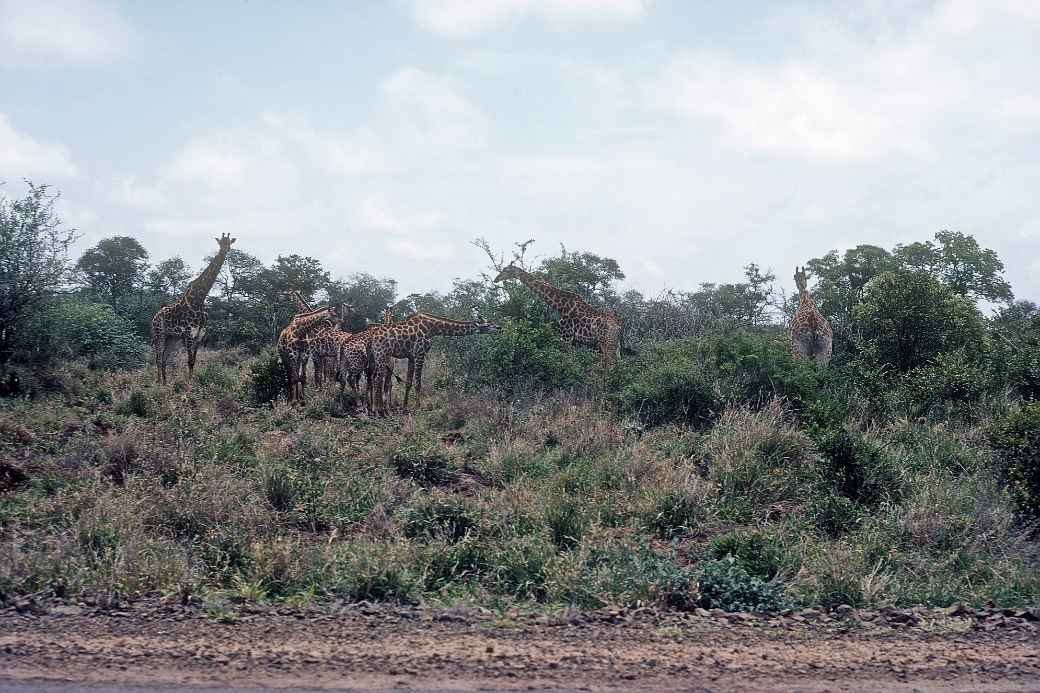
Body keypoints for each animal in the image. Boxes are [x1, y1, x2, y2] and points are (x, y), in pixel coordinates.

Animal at [150, 233, 236, 382]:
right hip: (159, 333)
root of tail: (155, 316)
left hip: (172, 337)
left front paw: (193, 382)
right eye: (220, 243)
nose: (225, 251)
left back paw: (166, 383)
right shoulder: (189, 334)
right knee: (158, 357)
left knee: (165, 357)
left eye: (229, 243)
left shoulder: (199, 335)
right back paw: (159, 383)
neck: (199, 299)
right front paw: (189, 385)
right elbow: (189, 361)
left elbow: (193, 361)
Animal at [366, 312, 499, 412]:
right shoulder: (420, 353)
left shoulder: (411, 356)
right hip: (381, 355)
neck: (432, 328)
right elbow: (418, 383)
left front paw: (405, 406)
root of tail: (371, 336)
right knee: (377, 379)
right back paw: (377, 408)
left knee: (372, 379)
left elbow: (409, 382)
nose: (500, 327)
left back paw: (373, 406)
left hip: (374, 358)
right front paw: (418, 407)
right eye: (488, 324)